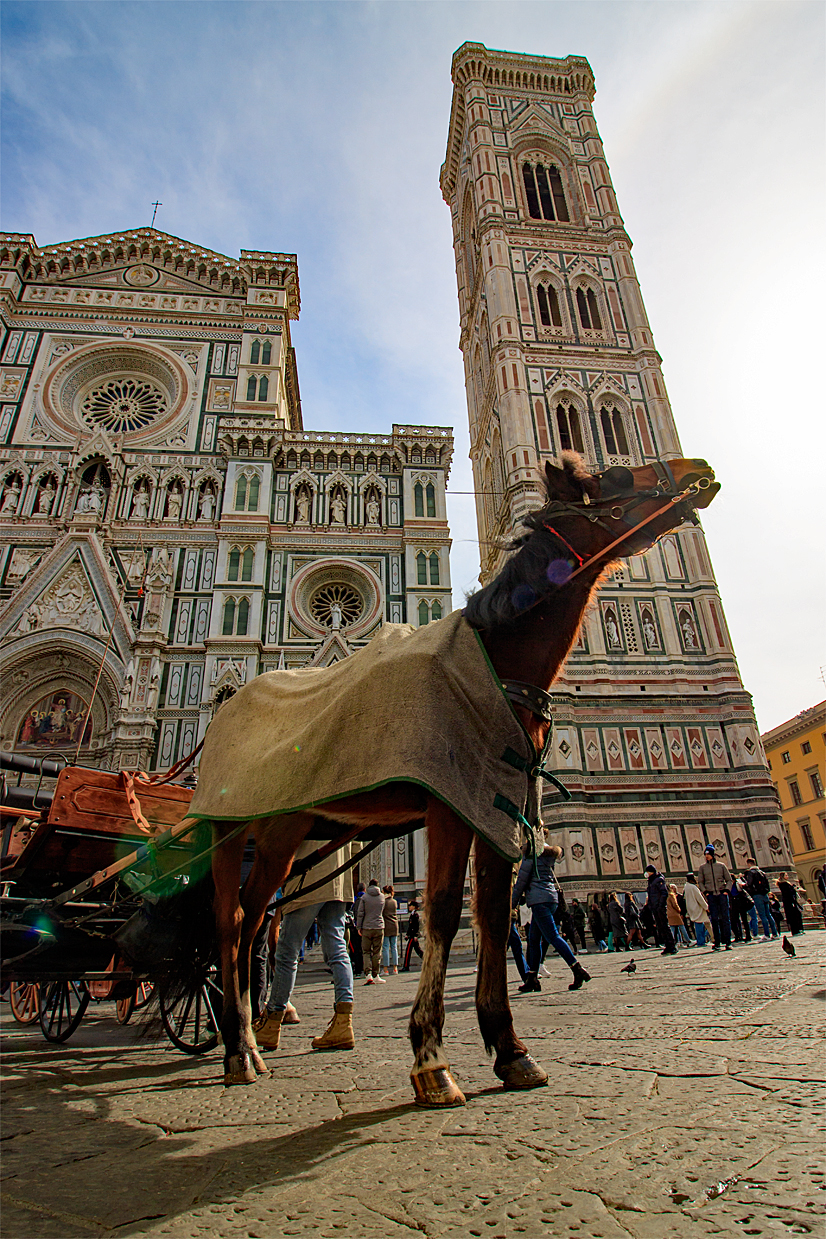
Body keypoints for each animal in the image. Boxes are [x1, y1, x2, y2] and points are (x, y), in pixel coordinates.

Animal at [201, 455, 718, 1105]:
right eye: (615, 479)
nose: (697, 467)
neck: (491, 662)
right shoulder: (448, 806)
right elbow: (444, 910)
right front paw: (430, 1057)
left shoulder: (496, 807)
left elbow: (494, 915)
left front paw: (511, 1049)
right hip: (245, 831)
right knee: (235, 920)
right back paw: (239, 1046)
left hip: (285, 833)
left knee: (253, 919)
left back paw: (244, 1037)